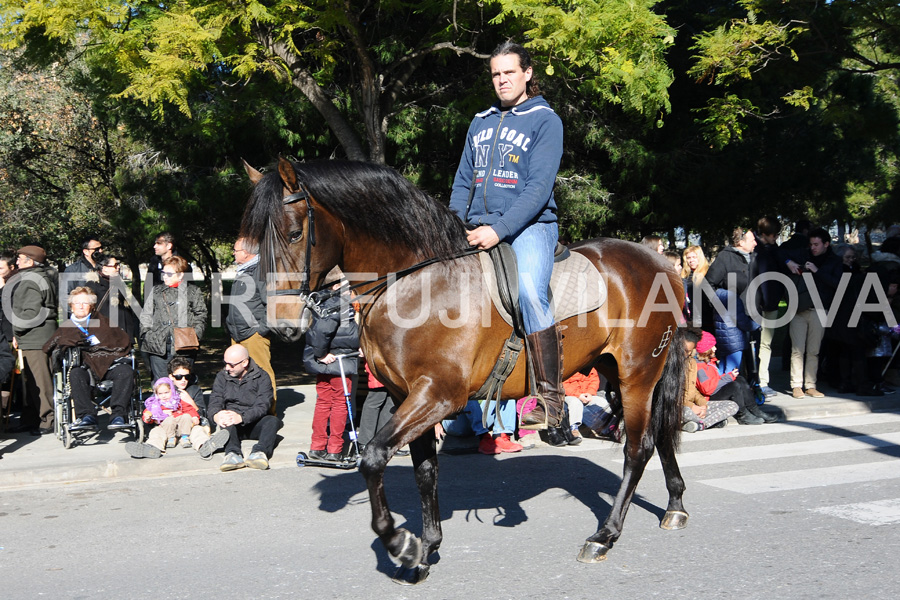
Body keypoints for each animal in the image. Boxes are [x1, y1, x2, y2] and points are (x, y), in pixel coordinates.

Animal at [239, 157, 688, 584]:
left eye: (294, 233)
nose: (281, 324)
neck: (418, 284)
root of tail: (661, 262)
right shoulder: (407, 396)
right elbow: (424, 471)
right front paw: (425, 551)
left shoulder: (437, 395)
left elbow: (373, 457)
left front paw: (401, 544)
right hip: (620, 371)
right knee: (661, 435)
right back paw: (675, 506)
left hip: (637, 374)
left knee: (639, 448)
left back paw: (604, 535)